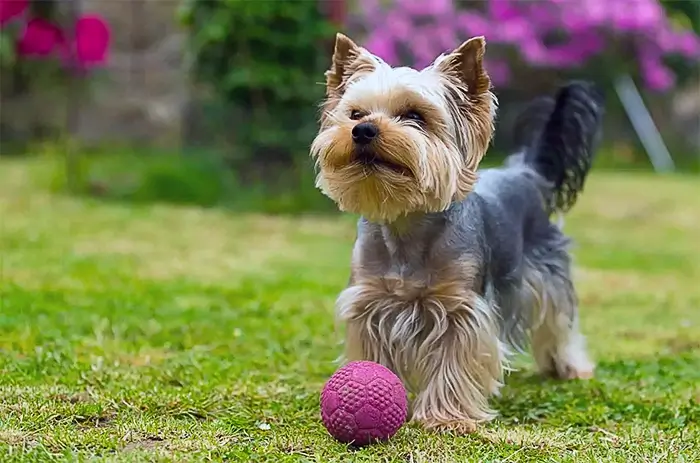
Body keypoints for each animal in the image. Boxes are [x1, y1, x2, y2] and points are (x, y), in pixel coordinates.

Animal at [308, 33, 604, 436]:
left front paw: (448, 417)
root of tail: (525, 171)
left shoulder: (461, 309)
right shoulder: (370, 303)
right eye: (355, 114)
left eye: (414, 116)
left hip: (548, 272)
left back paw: (569, 366)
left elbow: (456, 361)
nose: (363, 130)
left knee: (559, 320)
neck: (406, 222)